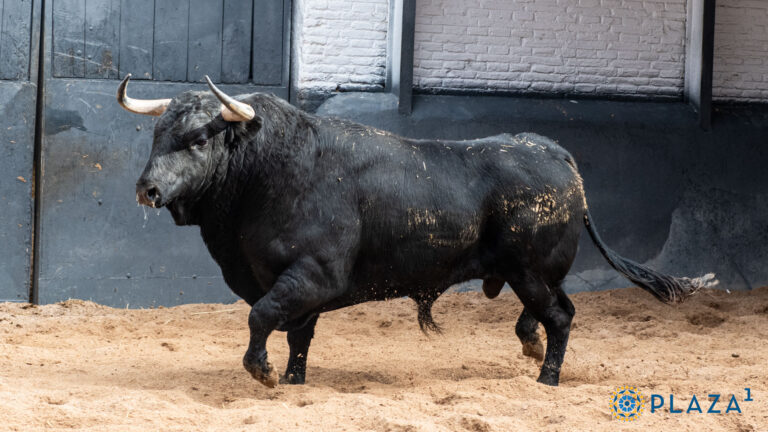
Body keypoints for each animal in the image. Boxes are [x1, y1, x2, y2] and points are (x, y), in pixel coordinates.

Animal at [116, 74, 716, 388]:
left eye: (198, 139)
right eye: (157, 134)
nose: (146, 190)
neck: (270, 169)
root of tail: (552, 151)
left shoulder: (312, 276)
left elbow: (262, 316)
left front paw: (262, 372)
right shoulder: (299, 288)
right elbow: (297, 335)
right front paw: (291, 381)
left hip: (530, 270)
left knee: (562, 317)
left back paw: (547, 377)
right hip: (531, 273)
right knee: (545, 313)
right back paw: (529, 349)